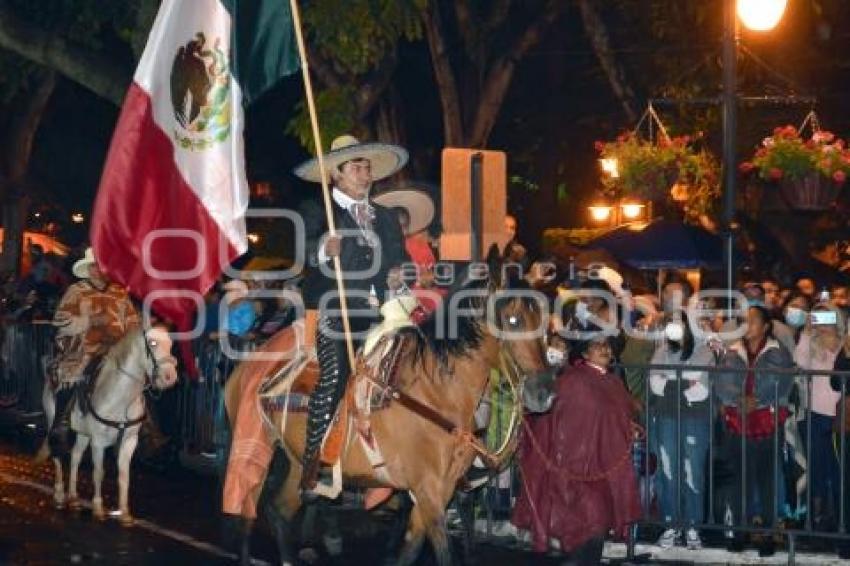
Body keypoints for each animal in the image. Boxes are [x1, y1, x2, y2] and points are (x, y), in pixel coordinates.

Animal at [41, 328, 179, 528]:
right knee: (57, 453)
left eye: (171, 344)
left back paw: (73, 498)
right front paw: (98, 509)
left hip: (83, 434)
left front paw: (125, 514)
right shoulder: (98, 442)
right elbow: (98, 473)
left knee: (75, 456)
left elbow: (124, 476)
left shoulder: (129, 442)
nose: (170, 377)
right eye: (152, 343)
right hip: (54, 420)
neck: (120, 397)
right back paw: (59, 495)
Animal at [222, 268, 548, 566]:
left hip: (296, 463)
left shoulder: (439, 490)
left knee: (279, 511)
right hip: (258, 444)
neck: (436, 391)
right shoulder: (429, 490)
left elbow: (411, 548)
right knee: (246, 511)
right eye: (514, 320)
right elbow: (443, 552)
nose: (543, 392)